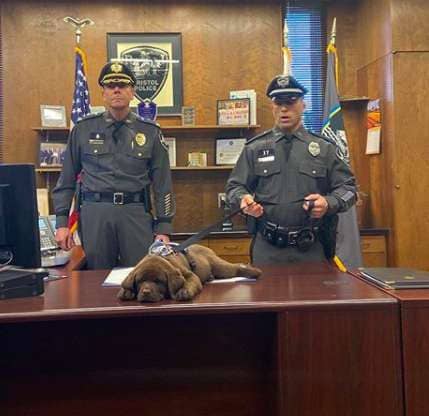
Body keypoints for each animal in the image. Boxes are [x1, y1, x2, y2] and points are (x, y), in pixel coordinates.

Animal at [116, 244, 260, 302]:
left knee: (236, 267)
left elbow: (190, 282)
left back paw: (254, 272)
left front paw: (183, 292)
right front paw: (125, 291)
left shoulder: (190, 275)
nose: (146, 292)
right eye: (140, 281)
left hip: (220, 267)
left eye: (158, 282)